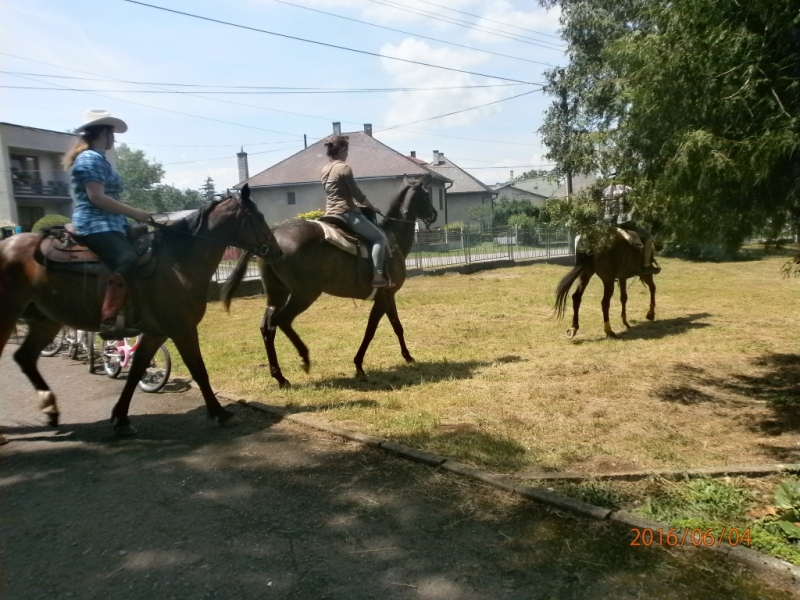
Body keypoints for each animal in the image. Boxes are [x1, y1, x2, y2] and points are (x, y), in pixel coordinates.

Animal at [0, 185, 282, 434]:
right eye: (258, 217)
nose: (277, 251)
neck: (176, 263)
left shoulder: (156, 333)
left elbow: (137, 370)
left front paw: (121, 418)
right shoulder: (182, 329)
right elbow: (198, 370)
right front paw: (219, 413)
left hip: (46, 320)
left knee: (25, 358)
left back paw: (51, 410)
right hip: (9, 316)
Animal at [222, 177, 438, 390]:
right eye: (426, 195)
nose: (434, 214)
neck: (392, 238)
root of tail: (273, 233)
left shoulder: (387, 296)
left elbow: (395, 326)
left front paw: (405, 357)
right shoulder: (384, 298)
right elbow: (372, 330)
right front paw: (361, 364)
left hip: (277, 295)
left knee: (268, 327)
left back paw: (280, 377)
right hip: (304, 294)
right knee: (282, 321)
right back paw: (304, 358)